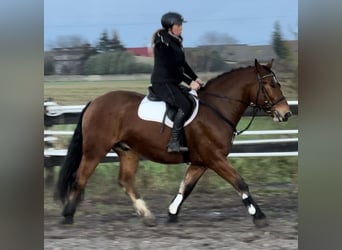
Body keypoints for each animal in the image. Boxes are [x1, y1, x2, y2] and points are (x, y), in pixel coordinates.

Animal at [56, 59, 292, 228]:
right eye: (271, 84)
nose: (286, 114)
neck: (217, 107)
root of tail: (95, 102)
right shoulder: (215, 159)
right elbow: (240, 183)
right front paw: (259, 216)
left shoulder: (201, 162)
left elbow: (185, 188)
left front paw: (172, 213)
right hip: (94, 151)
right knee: (80, 179)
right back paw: (67, 216)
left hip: (128, 152)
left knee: (125, 181)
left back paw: (147, 216)